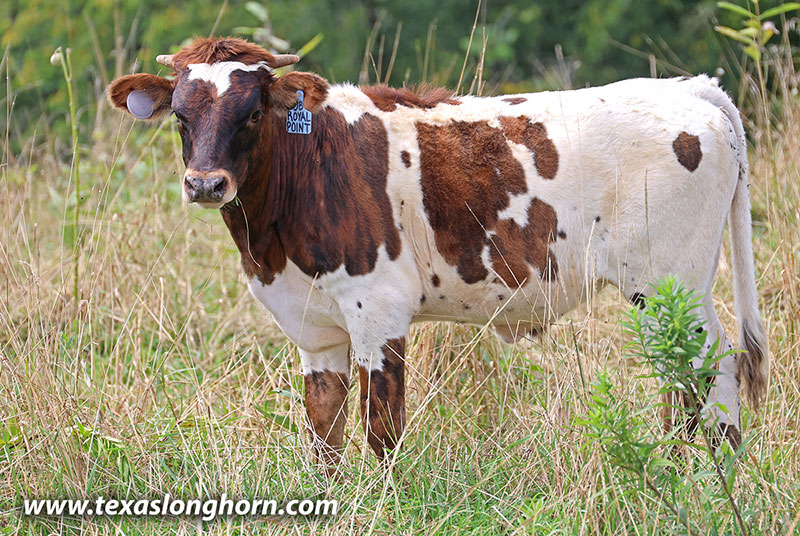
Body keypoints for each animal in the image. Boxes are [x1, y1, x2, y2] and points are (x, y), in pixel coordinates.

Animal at [107, 37, 768, 469]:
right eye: (181, 115)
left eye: (251, 112)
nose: (205, 183)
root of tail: (688, 88)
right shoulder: (315, 329)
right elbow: (324, 430)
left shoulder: (378, 309)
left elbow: (381, 427)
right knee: (692, 372)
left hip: (667, 284)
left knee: (709, 367)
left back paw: (701, 474)